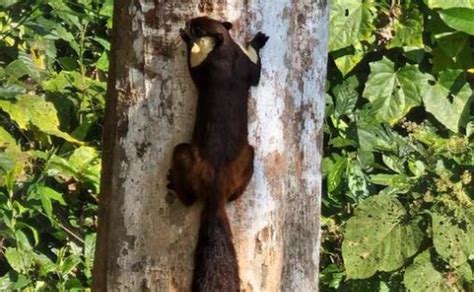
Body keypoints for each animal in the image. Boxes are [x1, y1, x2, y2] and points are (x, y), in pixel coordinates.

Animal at [168, 16, 268, 292]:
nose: (187, 24)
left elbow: (193, 71)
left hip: (184, 155)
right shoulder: (245, 67)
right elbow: (256, 73)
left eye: (198, 27)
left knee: (188, 196)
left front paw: (186, 39)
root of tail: (216, 190)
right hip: (249, 157)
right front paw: (258, 41)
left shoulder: (209, 69)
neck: (227, 52)